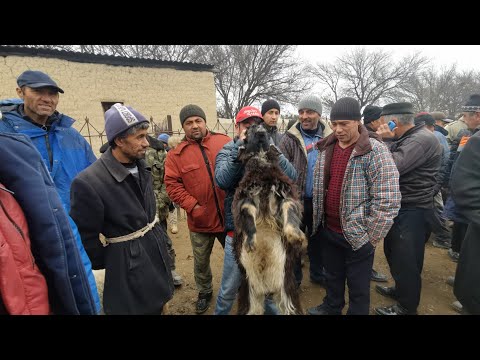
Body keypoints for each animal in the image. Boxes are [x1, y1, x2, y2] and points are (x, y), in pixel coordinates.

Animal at [233, 124, 308, 316]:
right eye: (249, 129)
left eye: (265, 129)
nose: (261, 132)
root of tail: (266, 287)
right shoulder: (245, 199)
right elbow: (248, 217)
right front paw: (250, 242)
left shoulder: (286, 194)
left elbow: (290, 212)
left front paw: (296, 236)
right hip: (249, 296)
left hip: (287, 293)